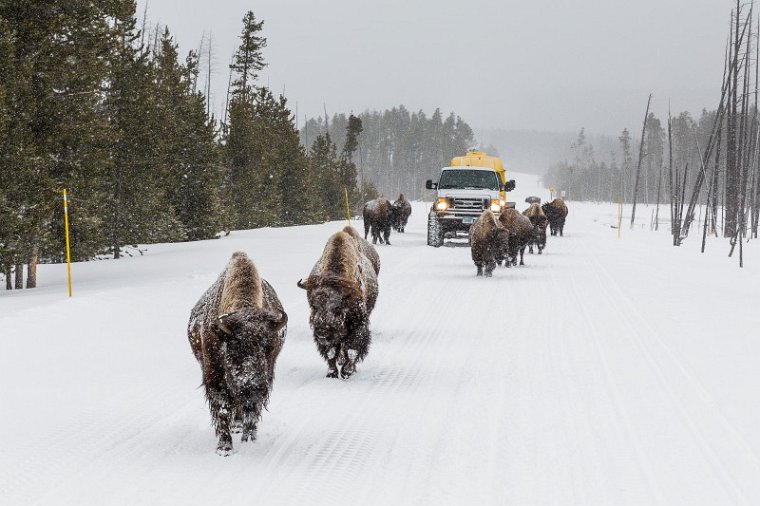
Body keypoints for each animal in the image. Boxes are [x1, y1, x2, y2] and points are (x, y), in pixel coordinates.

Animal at [188, 251, 288, 456]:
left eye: (268, 347)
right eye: (233, 346)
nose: (250, 384)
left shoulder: (265, 380)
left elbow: (252, 410)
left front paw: (249, 439)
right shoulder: (214, 377)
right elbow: (223, 410)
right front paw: (224, 448)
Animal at [296, 227, 380, 378]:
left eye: (337, 306)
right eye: (313, 305)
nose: (322, 331)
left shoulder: (358, 325)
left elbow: (352, 349)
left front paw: (347, 371)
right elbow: (331, 352)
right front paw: (332, 373)